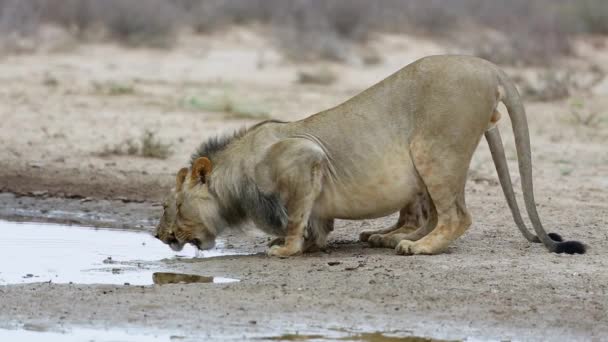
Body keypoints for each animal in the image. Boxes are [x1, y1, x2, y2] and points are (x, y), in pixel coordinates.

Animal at [156, 54, 584, 256]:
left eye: (170, 207)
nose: (158, 236)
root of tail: (490, 67)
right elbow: (314, 223)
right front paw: (310, 244)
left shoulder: (305, 158)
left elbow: (295, 219)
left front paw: (285, 249)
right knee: (432, 216)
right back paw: (389, 238)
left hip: (433, 151)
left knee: (456, 217)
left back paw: (416, 247)